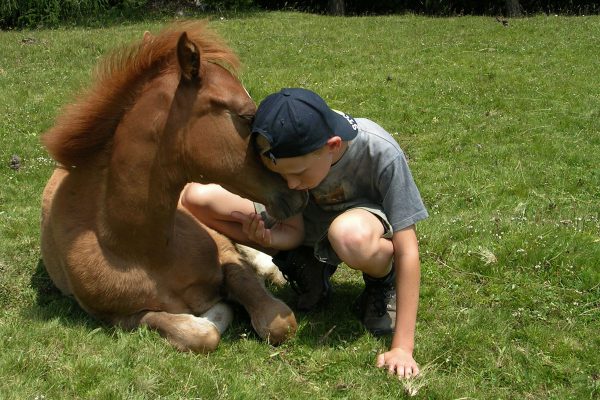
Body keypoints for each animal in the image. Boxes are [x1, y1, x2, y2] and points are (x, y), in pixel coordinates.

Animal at [39, 21, 308, 354]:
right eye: (247, 116)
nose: (298, 192)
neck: (145, 250)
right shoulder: (115, 317)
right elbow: (198, 333)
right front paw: (209, 314)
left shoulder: (227, 257)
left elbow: (278, 322)